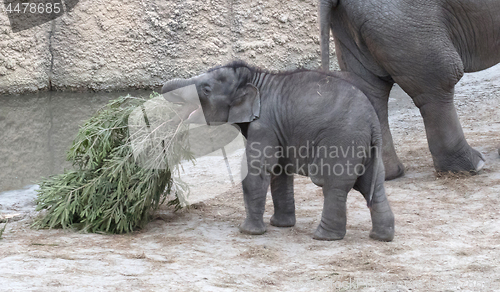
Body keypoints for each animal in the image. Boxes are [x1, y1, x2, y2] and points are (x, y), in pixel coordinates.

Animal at [163, 62, 394, 242]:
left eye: (206, 90)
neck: (254, 78)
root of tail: (373, 122)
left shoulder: (264, 124)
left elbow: (256, 168)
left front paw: (248, 232)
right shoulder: (278, 129)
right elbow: (279, 171)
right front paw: (280, 225)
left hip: (343, 140)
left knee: (334, 185)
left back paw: (324, 237)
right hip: (366, 147)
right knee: (373, 185)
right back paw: (381, 236)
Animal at [318, 0, 498, 179]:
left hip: (353, 25)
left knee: (370, 89)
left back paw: (386, 173)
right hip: (406, 21)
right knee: (441, 78)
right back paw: (472, 166)